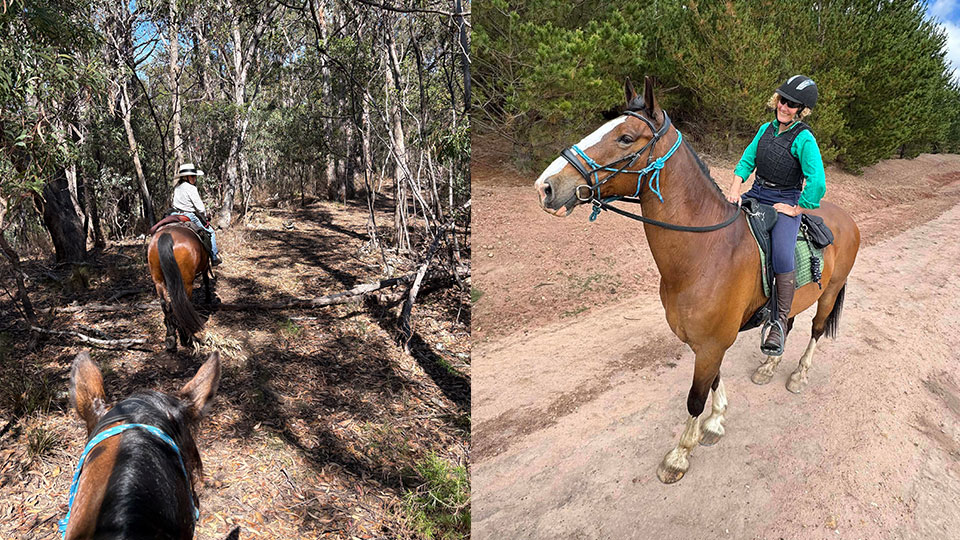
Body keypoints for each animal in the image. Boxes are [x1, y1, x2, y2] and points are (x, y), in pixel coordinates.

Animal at [534, 76, 860, 483]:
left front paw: (679, 455)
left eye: (625, 137)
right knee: (786, 321)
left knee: (815, 330)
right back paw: (769, 365)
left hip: (829, 292)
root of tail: (846, 217)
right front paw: (716, 421)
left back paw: (798, 375)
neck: (704, 253)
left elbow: (694, 398)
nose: (546, 186)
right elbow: (715, 383)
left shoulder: (710, 345)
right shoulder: (705, 345)